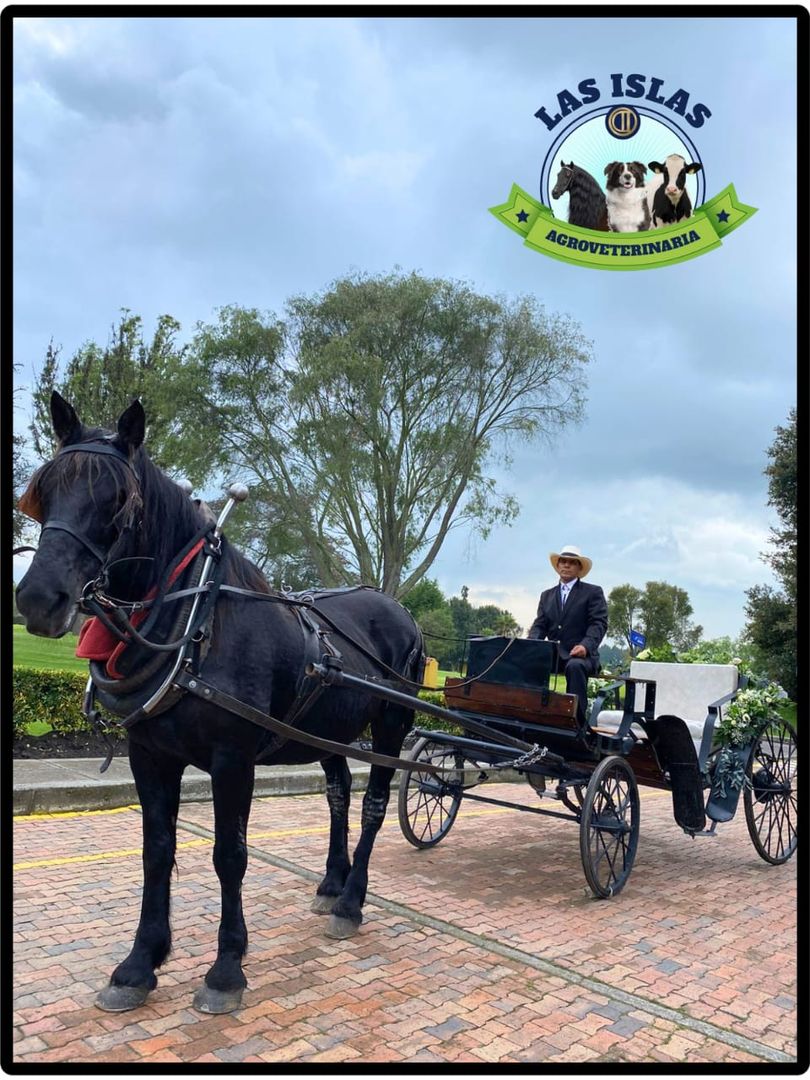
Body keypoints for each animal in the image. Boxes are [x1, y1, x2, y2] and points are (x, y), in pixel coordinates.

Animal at [15, 392, 425, 1015]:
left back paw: (352, 901)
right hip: (327, 730)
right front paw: (139, 964)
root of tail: (399, 611)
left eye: (119, 500)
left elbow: (229, 856)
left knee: (375, 805)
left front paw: (227, 967)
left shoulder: (233, 761)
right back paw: (331, 883)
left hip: (392, 725)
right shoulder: (149, 756)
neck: (198, 626)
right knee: (338, 795)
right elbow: (157, 850)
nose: (39, 598)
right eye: (47, 492)